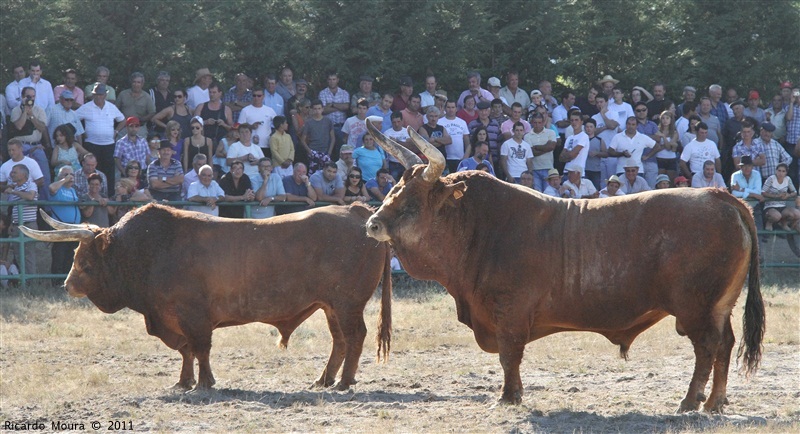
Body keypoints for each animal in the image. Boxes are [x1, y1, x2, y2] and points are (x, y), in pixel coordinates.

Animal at [21, 205, 390, 392]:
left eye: (84, 261)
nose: (67, 285)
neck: (148, 250)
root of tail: (355, 211)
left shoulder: (192, 317)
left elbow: (199, 349)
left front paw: (203, 383)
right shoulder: (172, 318)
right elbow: (186, 351)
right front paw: (184, 382)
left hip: (347, 304)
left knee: (355, 337)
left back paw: (343, 382)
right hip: (330, 306)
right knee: (340, 341)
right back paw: (325, 379)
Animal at [360, 119, 764, 414]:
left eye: (412, 201)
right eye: (392, 190)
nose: (372, 224)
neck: (477, 227)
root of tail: (719, 196)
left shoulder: (510, 312)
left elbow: (509, 355)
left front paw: (508, 397)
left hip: (695, 307)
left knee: (708, 346)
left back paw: (692, 401)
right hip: (718, 306)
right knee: (725, 345)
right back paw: (715, 402)